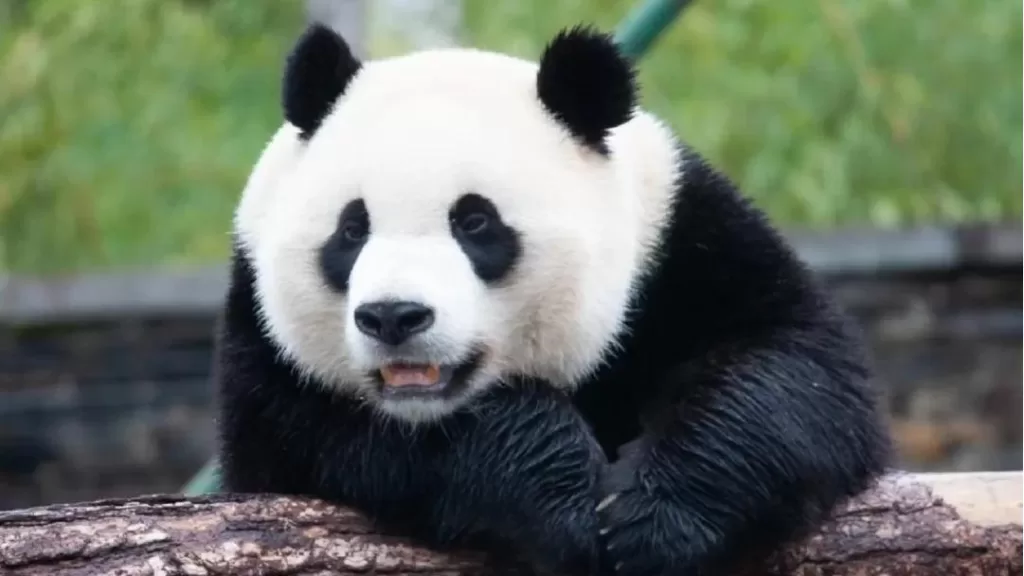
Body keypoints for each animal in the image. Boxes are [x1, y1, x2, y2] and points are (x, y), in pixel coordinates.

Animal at [216, 22, 891, 576]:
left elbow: (791, 368)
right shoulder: (265, 357)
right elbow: (328, 434)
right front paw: (557, 497)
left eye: (476, 223)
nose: (393, 316)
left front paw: (652, 522)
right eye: (352, 230)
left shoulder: (683, 243)